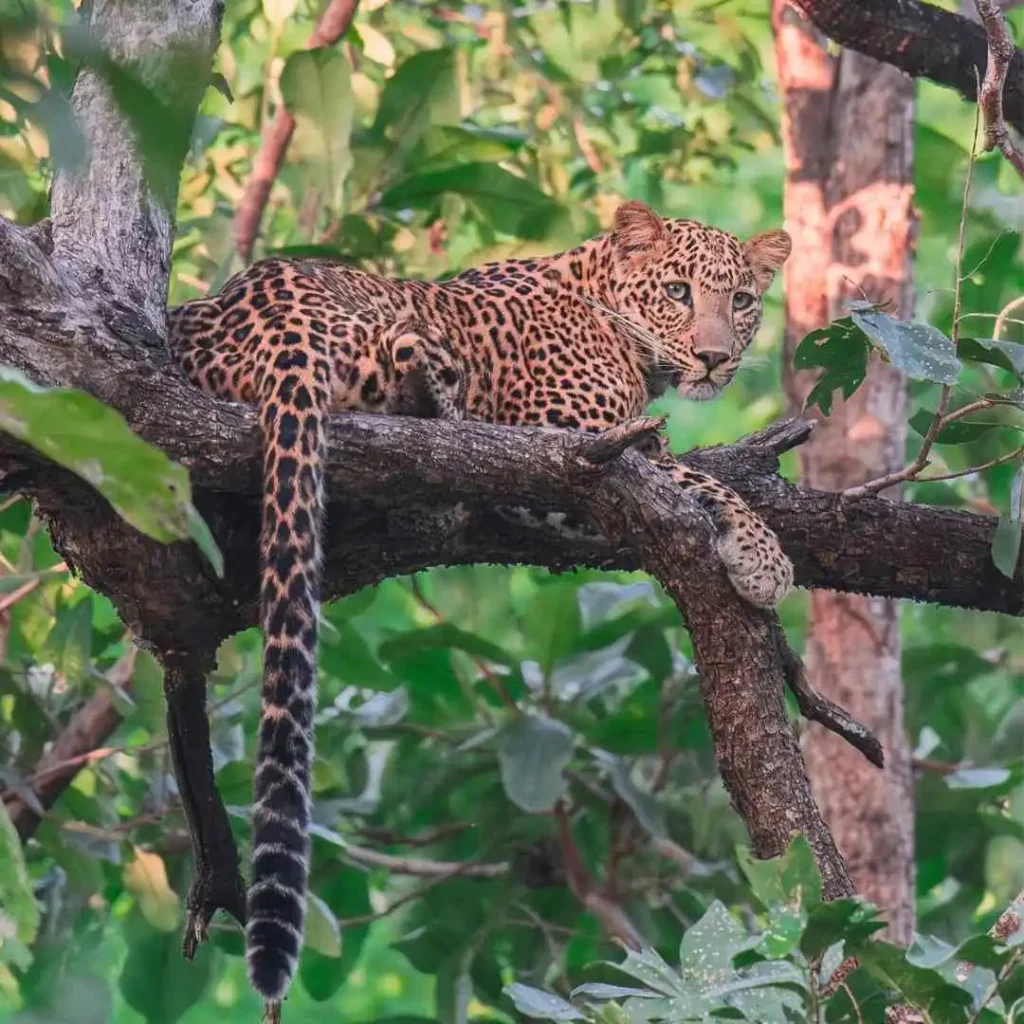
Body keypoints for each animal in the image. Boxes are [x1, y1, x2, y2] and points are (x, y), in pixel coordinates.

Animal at [167, 199, 793, 1017]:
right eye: (678, 292)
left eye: (742, 300)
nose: (715, 358)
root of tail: (271, 315)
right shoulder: (573, 441)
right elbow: (701, 477)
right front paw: (765, 558)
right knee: (406, 367)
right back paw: (440, 384)